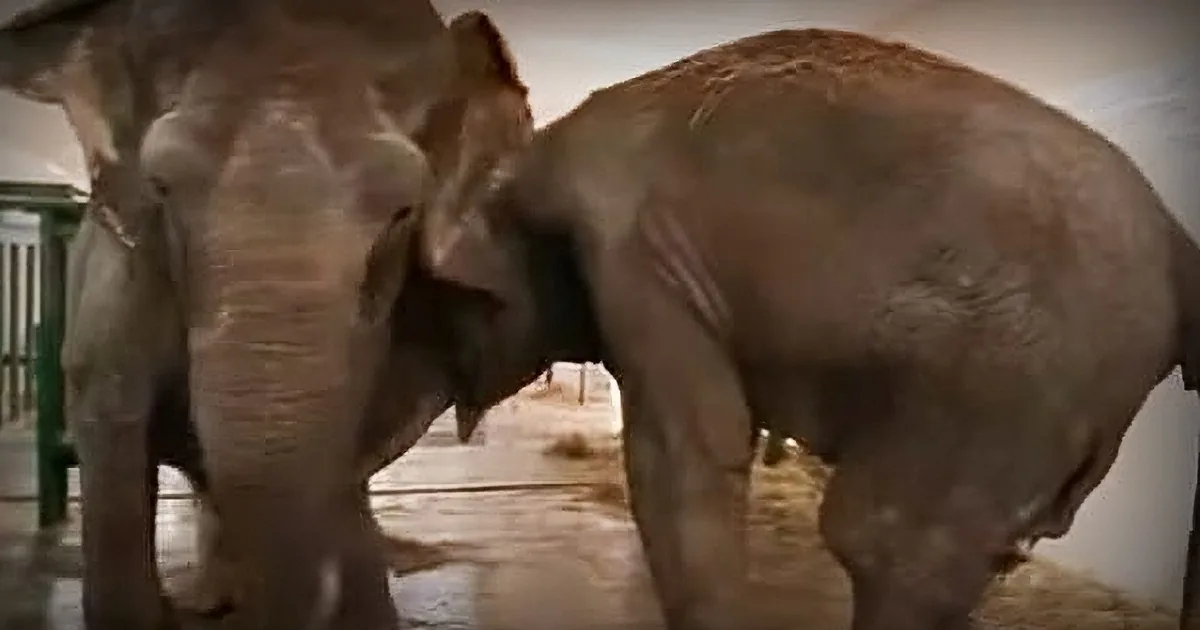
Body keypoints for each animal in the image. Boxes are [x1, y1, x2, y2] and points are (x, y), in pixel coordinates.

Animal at [358, 26, 1200, 630]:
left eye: (410, 298)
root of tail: (1179, 243)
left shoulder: (642, 260)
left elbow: (688, 457)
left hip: (1012, 378)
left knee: (882, 541)